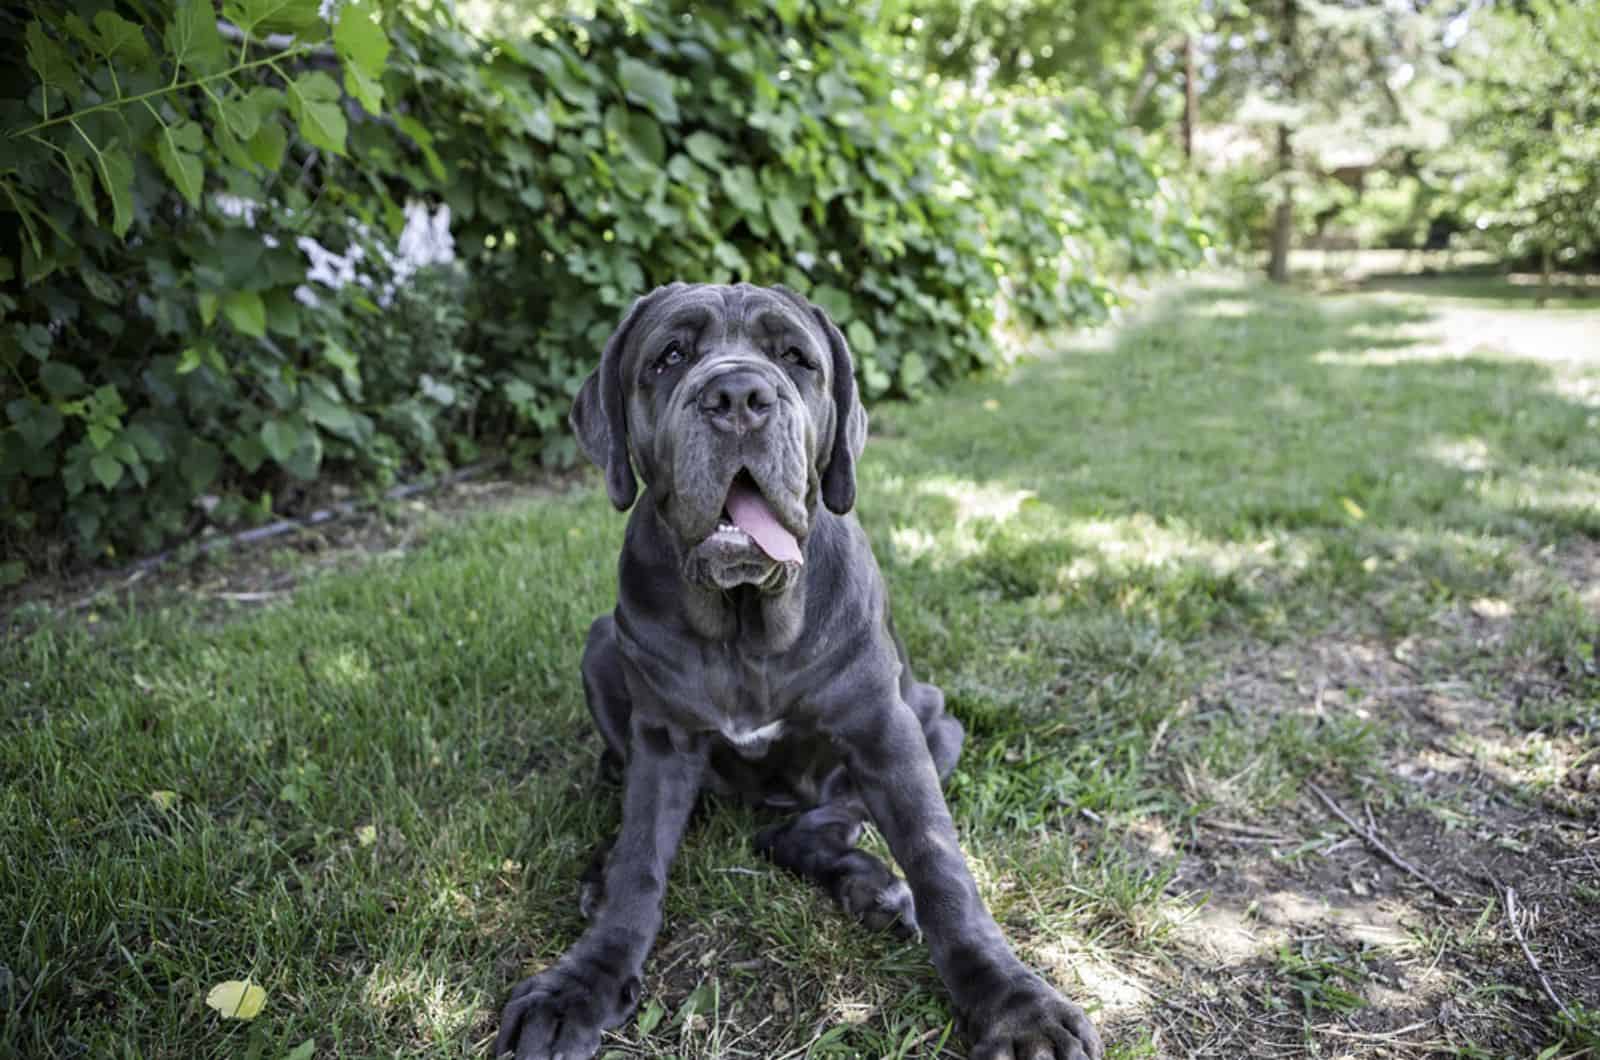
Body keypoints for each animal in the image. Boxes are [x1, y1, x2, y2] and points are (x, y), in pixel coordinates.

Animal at [496, 281, 1100, 1060]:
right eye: (670, 356)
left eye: (795, 358)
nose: (738, 396)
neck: (746, 624)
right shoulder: (664, 737)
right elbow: (641, 861)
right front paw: (581, 983)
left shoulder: (887, 729)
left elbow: (941, 865)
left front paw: (1016, 1007)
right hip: (602, 645)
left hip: (935, 718)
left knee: (805, 829)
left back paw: (873, 887)